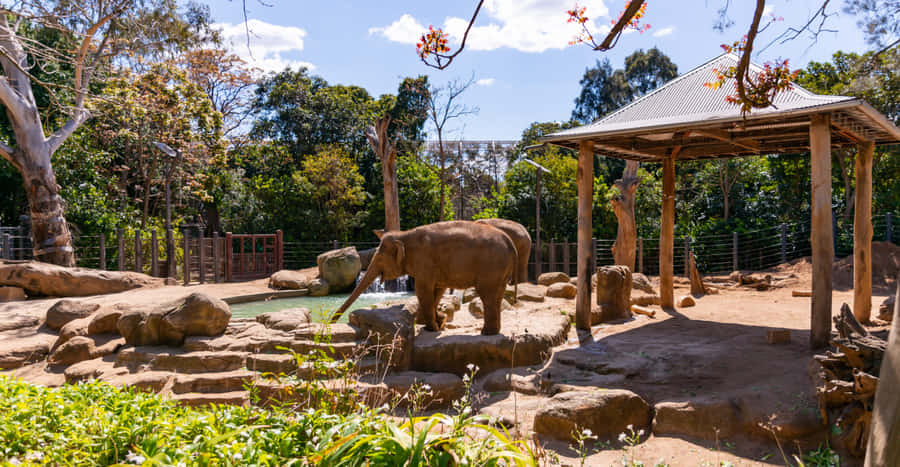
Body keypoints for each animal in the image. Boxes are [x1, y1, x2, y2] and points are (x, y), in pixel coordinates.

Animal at [331, 221, 518, 335]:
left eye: (380, 259)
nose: (331, 322)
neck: (404, 234)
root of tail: (511, 243)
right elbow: (437, 290)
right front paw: (439, 323)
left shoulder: (424, 261)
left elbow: (423, 290)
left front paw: (432, 328)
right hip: (500, 270)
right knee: (497, 295)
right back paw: (492, 331)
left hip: (491, 266)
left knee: (487, 295)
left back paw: (486, 333)